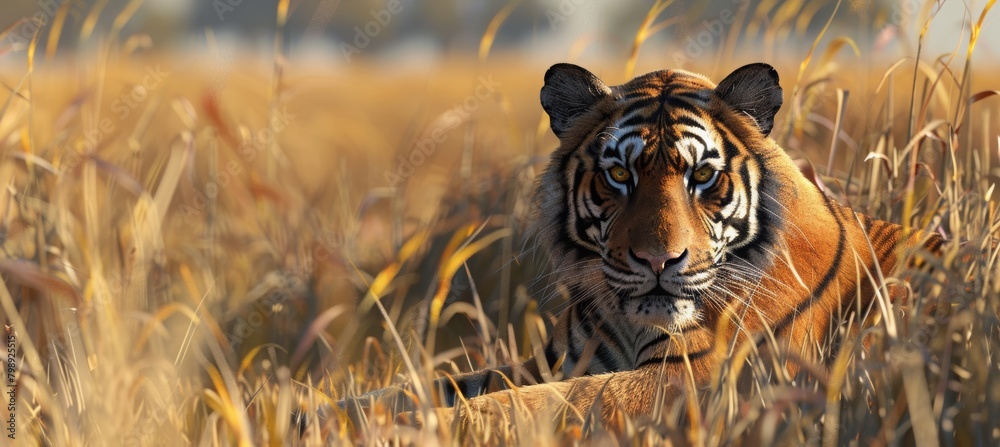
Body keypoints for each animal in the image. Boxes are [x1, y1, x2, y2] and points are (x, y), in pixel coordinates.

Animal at [322, 62, 945, 431]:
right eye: (619, 174)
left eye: (702, 177)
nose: (658, 261)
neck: (625, 318)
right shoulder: (554, 358)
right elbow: (423, 386)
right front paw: (321, 412)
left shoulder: (693, 377)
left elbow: (548, 403)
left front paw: (439, 428)